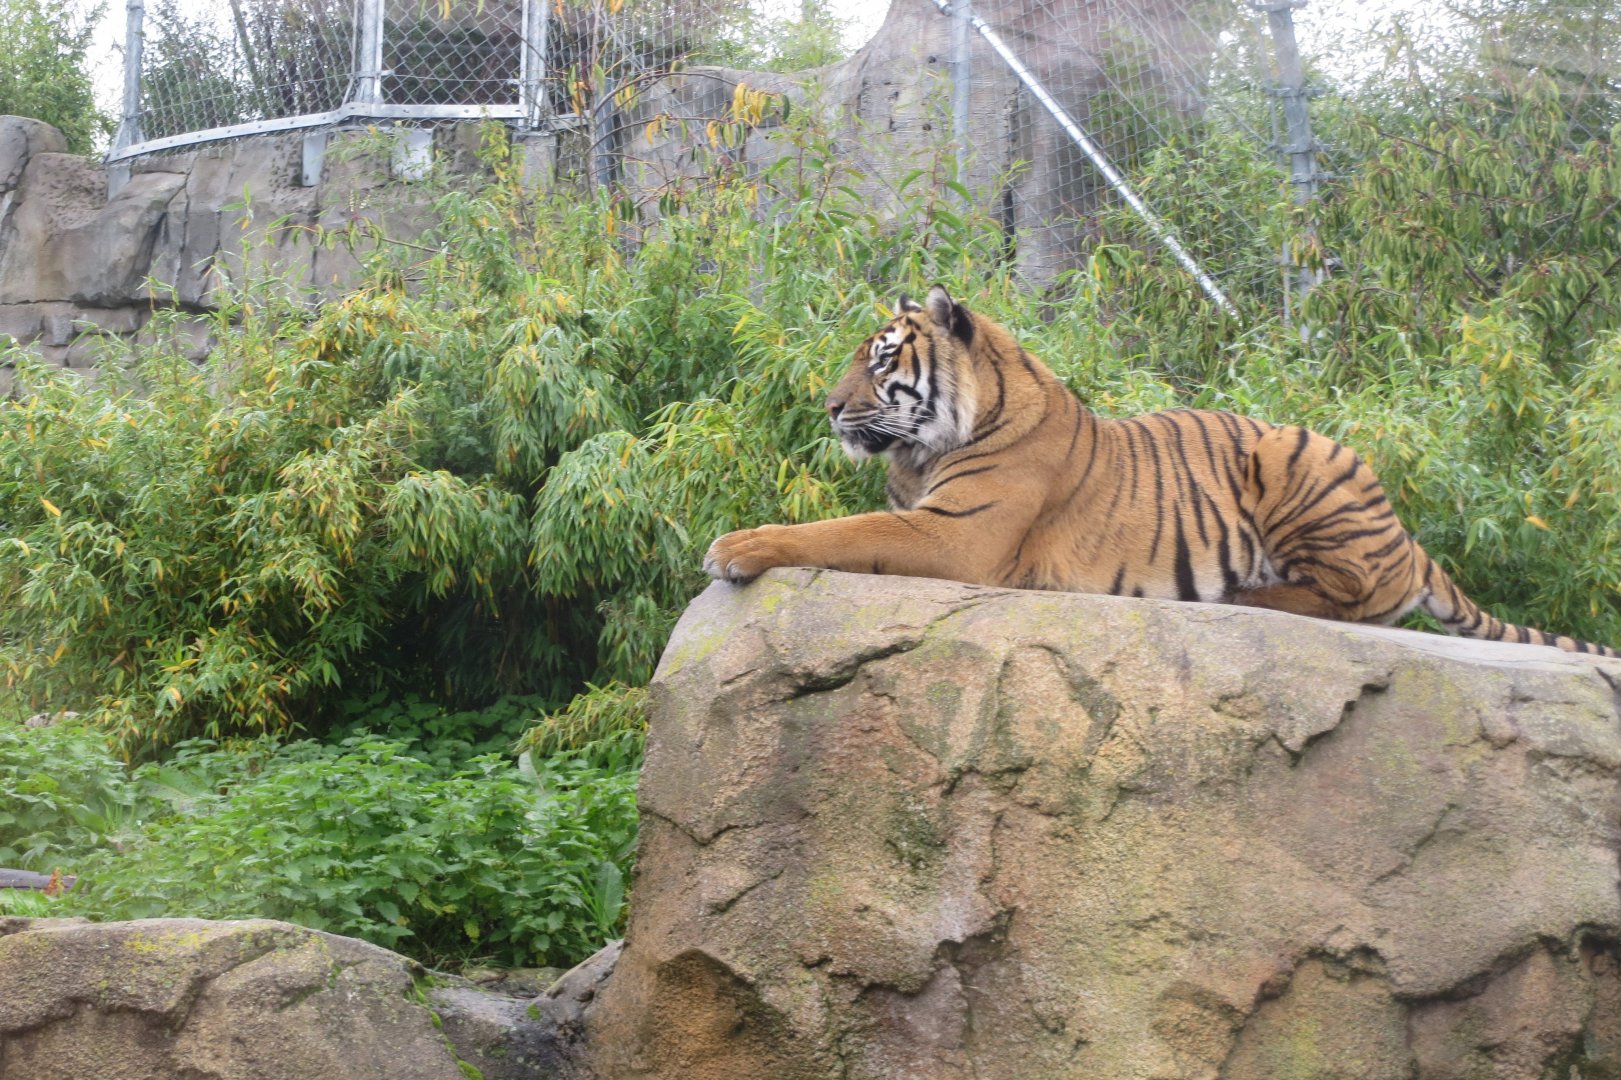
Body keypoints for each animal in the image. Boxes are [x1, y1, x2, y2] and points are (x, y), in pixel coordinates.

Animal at [704, 284, 1620, 659]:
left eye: (882, 358)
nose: (827, 406)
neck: (927, 443)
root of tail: (1407, 535)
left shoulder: (955, 534)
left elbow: (837, 529)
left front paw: (735, 545)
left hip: (1292, 454)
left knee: (1359, 596)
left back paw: (1250, 596)